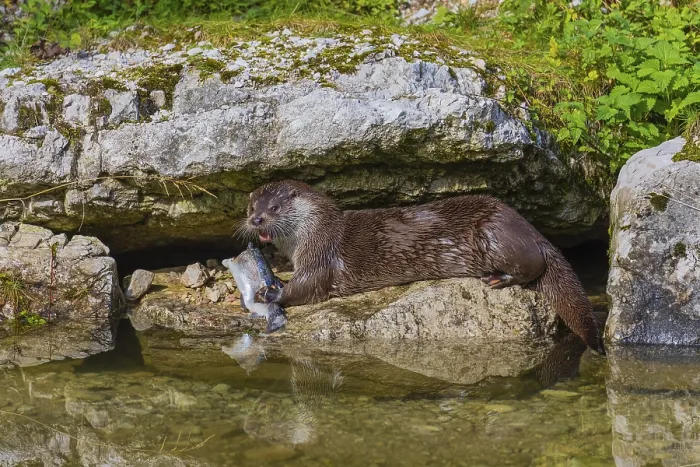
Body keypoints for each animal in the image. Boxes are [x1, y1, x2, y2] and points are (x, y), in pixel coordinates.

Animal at [245, 180, 605, 355]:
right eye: (251, 207)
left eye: (274, 207)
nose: (256, 219)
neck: (313, 232)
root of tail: (531, 230)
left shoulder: (320, 257)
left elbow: (307, 287)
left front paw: (269, 294)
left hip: (494, 235)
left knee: (532, 266)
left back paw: (498, 278)